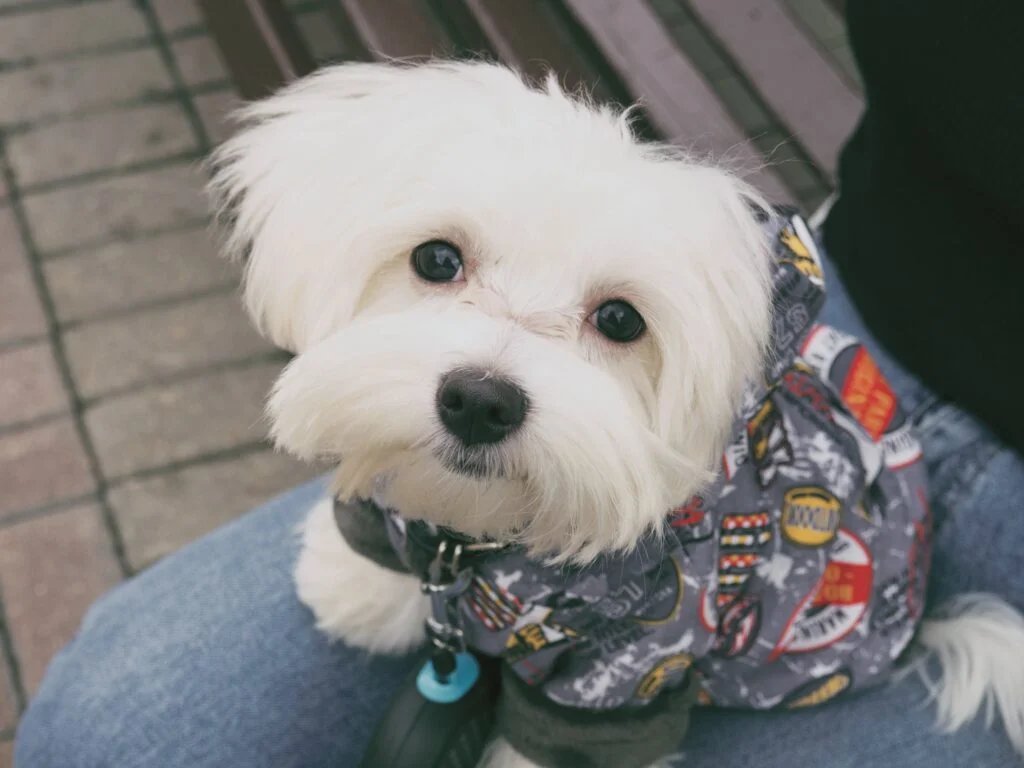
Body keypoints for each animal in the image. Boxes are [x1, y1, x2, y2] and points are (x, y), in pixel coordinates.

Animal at [207, 61, 1024, 768]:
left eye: (621, 320)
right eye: (437, 259)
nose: (480, 400)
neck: (486, 547)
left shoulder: (633, 660)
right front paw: (357, 585)